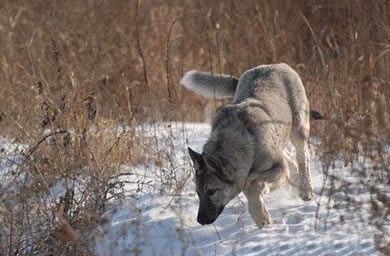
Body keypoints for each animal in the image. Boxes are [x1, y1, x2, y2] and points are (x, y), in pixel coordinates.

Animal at [181, 63, 322, 227]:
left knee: (302, 157)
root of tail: (275, 65)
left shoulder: (278, 167)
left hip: (299, 128)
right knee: (291, 160)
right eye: (198, 192)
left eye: (211, 191)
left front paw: (262, 219)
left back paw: (306, 190)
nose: (200, 220)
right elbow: (250, 188)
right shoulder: (245, 177)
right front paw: (263, 218)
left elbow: (255, 186)